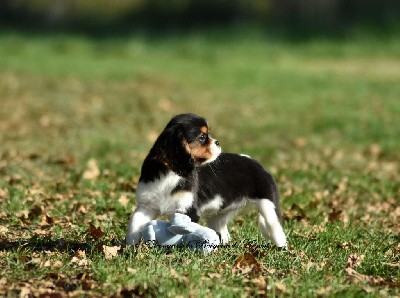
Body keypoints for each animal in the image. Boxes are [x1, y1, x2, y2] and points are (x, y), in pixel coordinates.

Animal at [126, 113, 286, 248]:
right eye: (202, 137)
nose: (218, 142)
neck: (170, 173)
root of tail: (257, 163)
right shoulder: (146, 206)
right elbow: (134, 225)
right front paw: (129, 247)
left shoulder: (188, 210)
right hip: (218, 215)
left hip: (269, 206)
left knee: (276, 228)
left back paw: (282, 248)